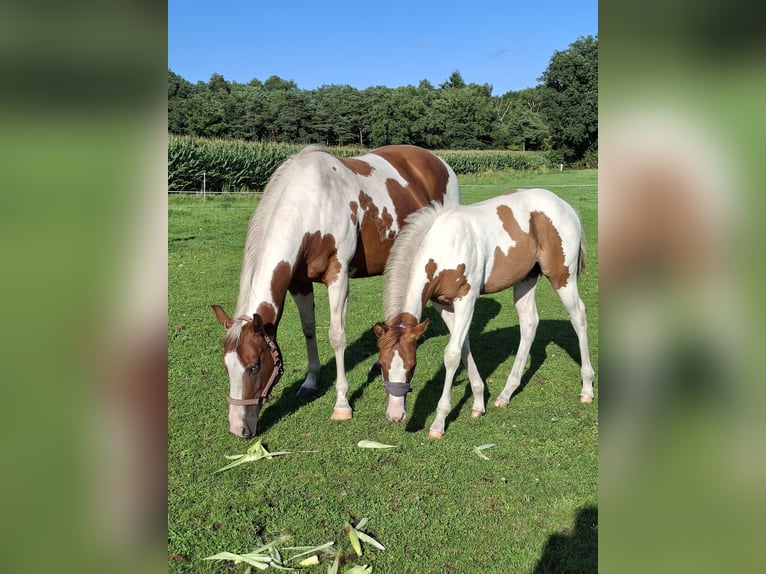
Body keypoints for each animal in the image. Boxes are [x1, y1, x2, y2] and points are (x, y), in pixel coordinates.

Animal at [212, 144, 460, 438]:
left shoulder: (338, 277)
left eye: (254, 366)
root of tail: (441, 162)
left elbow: (337, 336)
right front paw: (310, 382)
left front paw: (342, 404)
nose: (238, 427)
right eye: (226, 365)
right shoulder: (299, 282)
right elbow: (308, 329)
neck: (311, 203)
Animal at [373, 188, 595, 438]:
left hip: (562, 277)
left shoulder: (466, 299)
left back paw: (587, 388)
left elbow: (452, 354)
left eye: (412, 366)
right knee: (529, 324)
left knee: (578, 316)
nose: (395, 415)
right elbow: (463, 347)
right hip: (525, 279)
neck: (444, 245)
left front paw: (439, 421)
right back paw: (506, 393)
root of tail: (565, 205)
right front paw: (479, 402)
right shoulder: (443, 305)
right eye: (381, 365)